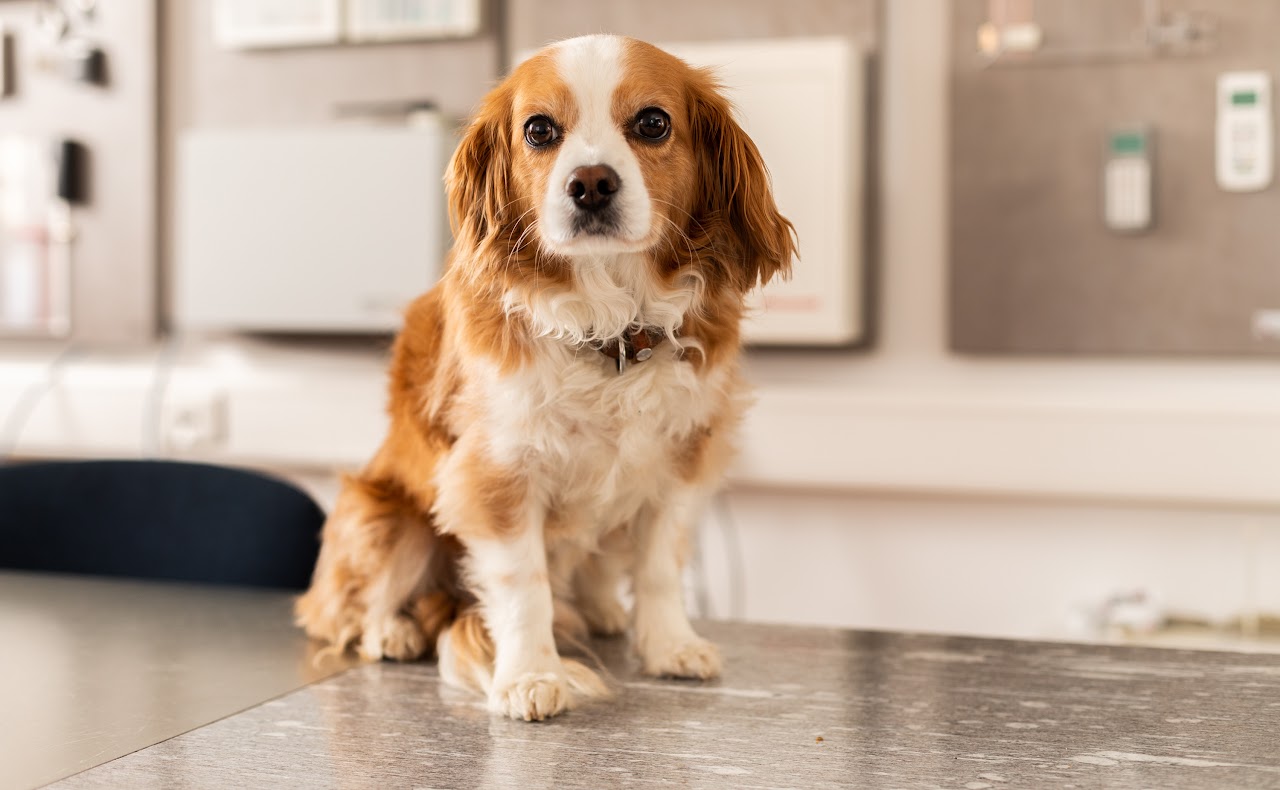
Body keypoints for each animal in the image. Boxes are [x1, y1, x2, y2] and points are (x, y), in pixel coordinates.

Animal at [298, 32, 793, 722]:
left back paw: (601, 611)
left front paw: (669, 645)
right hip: (384, 517)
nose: (591, 183)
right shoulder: (499, 473)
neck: (609, 327)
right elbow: (523, 584)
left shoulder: (681, 459)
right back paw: (392, 630)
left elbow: (660, 567)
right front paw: (530, 674)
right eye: (539, 131)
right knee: (344, 611)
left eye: (653, 123)